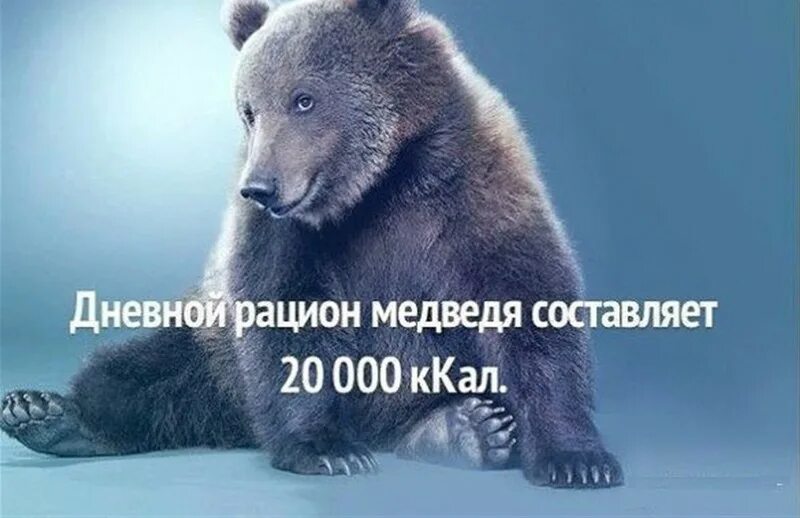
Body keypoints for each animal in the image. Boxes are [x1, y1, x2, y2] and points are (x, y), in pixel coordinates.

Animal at [0, 0, 623, 488]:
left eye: (303, 98)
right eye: (248, 108)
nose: (261, 186)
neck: (379, 184)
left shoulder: (474, 182)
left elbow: (526, 297)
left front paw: (578, 458)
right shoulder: (282, 235)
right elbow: (286, 312)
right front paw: (327, 450)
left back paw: (464, 427)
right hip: (213, 348)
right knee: (150, 369)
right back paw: (47, 413)